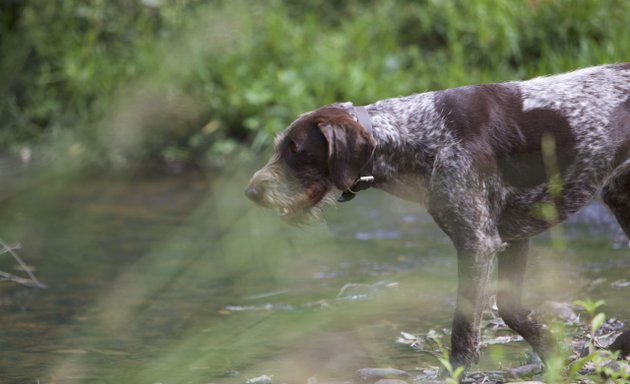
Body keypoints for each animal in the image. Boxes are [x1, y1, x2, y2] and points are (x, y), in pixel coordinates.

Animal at [246, 64, 630, 370]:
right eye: (279, 147)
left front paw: (458, 370)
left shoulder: (477, 244)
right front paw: (553, 354)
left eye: (296, 150)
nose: (251, 192)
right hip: (619, 196)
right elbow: (512, 311)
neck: (412, 134)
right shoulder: (513, 238)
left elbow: (464, 330)